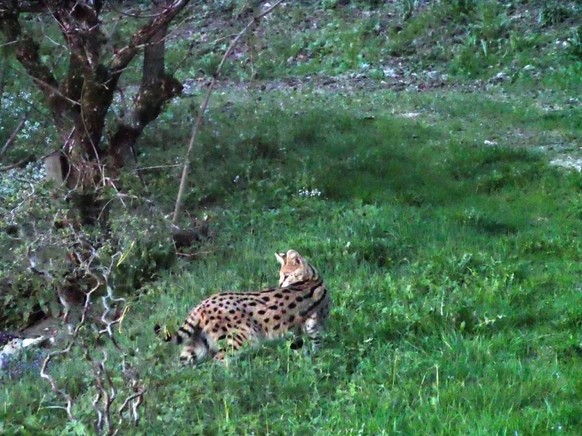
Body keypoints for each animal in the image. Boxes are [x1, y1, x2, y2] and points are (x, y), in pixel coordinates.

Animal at [155, 249, 330, 364]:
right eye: (281, 276)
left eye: (286, 275)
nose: (280, 284)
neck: (312, 278)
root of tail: (201, 305)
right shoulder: (313, 323)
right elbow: (316, 341)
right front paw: (316, 358)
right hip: (240, 338)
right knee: (219, 361)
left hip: (197, 345)